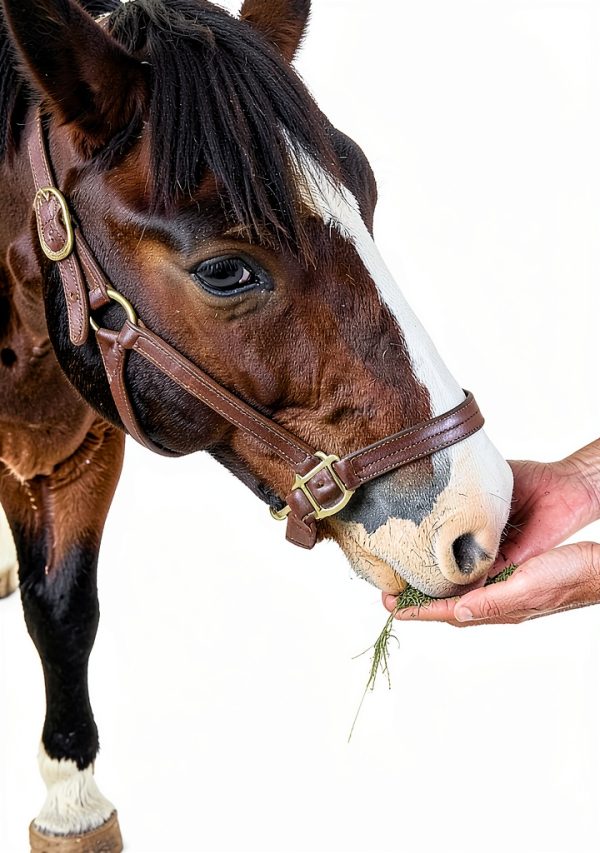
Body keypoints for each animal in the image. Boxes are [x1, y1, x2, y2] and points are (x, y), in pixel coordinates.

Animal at [0, 0, 513, 849]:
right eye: (224, 270)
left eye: (368, 198)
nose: (482, 516)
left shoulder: (84, 445)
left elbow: (65, 606)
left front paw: (72, 799)